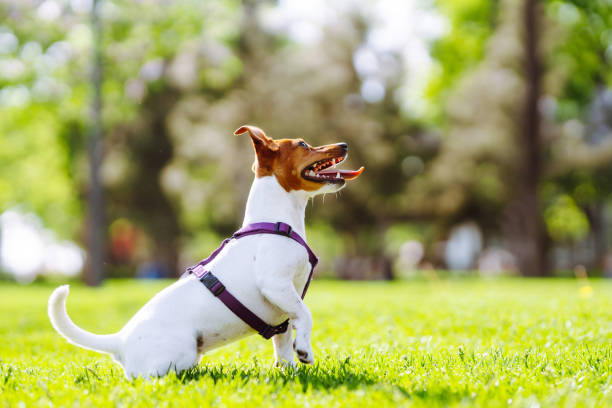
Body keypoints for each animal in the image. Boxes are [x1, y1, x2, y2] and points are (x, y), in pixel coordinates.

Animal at [49, 125, 364, 380]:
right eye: (303, 144)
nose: (345, 144)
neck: (277, 221)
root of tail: (120, 341)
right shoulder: (275, 285)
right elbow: (306, 315)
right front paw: (305, 350)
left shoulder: (282, 310)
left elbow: (284, 344)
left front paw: (291, 372)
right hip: (181, 354)